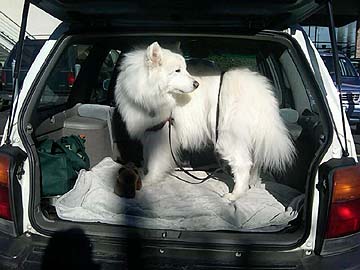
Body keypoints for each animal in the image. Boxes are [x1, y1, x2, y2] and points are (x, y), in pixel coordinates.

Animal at [115, 41, 296, 200]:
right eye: (177, 70)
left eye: (184, 69)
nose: (196, 84)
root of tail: (258, 89)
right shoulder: (150, 131)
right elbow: (147, 156)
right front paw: (143, 171)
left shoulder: (162, 132)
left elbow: (155, 161)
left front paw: (149, 179)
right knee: (255, 162)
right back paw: (253, 183)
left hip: (228, 137)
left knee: (243, 164)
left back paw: (235, 194)